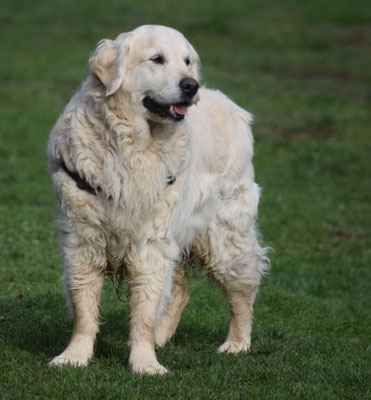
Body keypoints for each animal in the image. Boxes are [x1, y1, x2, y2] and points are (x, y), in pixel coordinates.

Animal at [48, 24, 268, 376]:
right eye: (157, 59)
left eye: (187, 61)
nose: (191, 86)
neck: (134, 146)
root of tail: (232, 107)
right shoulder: (84, 240)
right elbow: (84, 308)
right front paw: (74, 356)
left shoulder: (150, 244)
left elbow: (144, 311)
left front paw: (145, 363)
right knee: (180, 292)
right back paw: (161, 338)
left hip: (226, 236)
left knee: (243, 289)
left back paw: (236, 344)